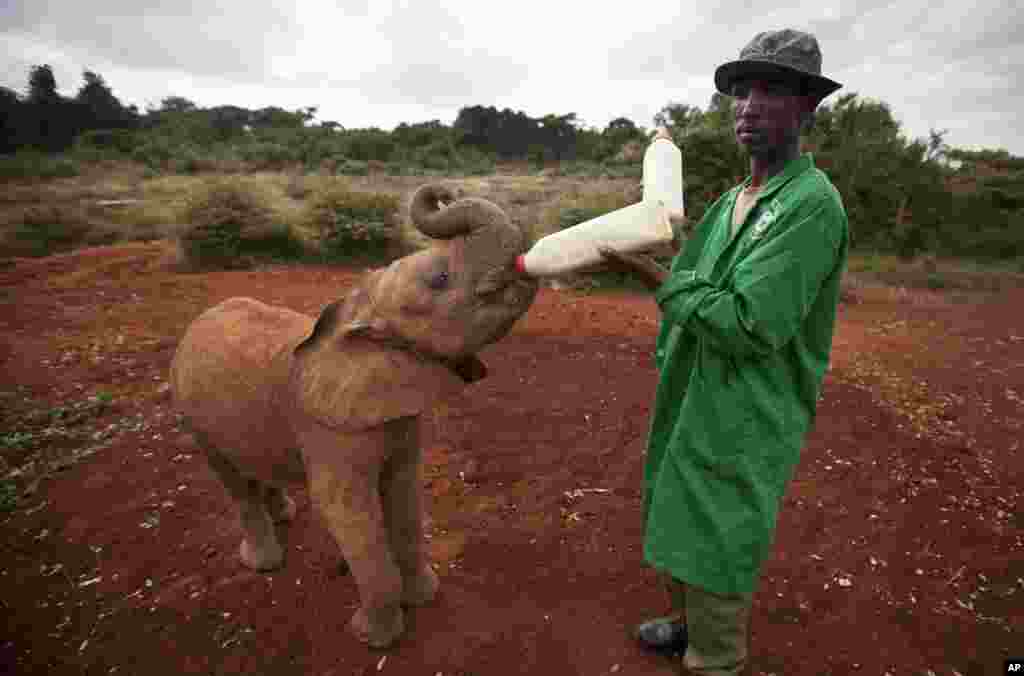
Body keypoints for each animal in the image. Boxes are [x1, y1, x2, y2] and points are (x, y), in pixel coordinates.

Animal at [169, 182, 536, 647]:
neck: (362, 312)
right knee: (232, 481)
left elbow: (404, 494)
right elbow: (346, 509)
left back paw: (284, 514)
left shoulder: (397, 415)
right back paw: (263, 562)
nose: (445, 192)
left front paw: (424, 598)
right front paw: (370, 637)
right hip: (192, 415)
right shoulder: (327, 430)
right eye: (439, 279)